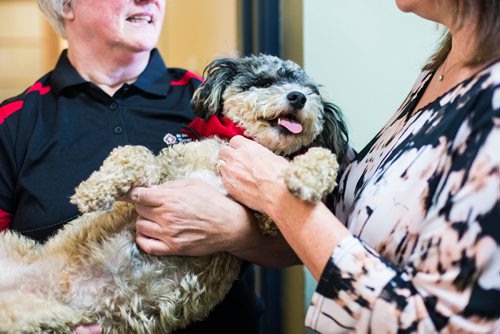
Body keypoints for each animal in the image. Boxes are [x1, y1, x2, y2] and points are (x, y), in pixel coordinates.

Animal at [0, 53, 350, 332]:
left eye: (311, 91)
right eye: (265, 81)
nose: (298, 97)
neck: (230, 145)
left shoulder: (269, 220)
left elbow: (321, 157)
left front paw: (305, 178)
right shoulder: (160, 176)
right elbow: (133, 154)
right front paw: (92, 189)